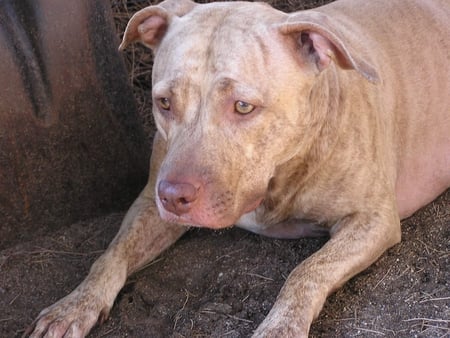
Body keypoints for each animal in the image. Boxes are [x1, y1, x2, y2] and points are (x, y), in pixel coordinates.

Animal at [28, 0, 450, 336]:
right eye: (164, 103)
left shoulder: (372, 220)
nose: (174, 197)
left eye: (243, 106)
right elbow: (112, 252)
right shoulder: (149, 200)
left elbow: (307, 271)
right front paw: (75, 305)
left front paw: (280, 328)